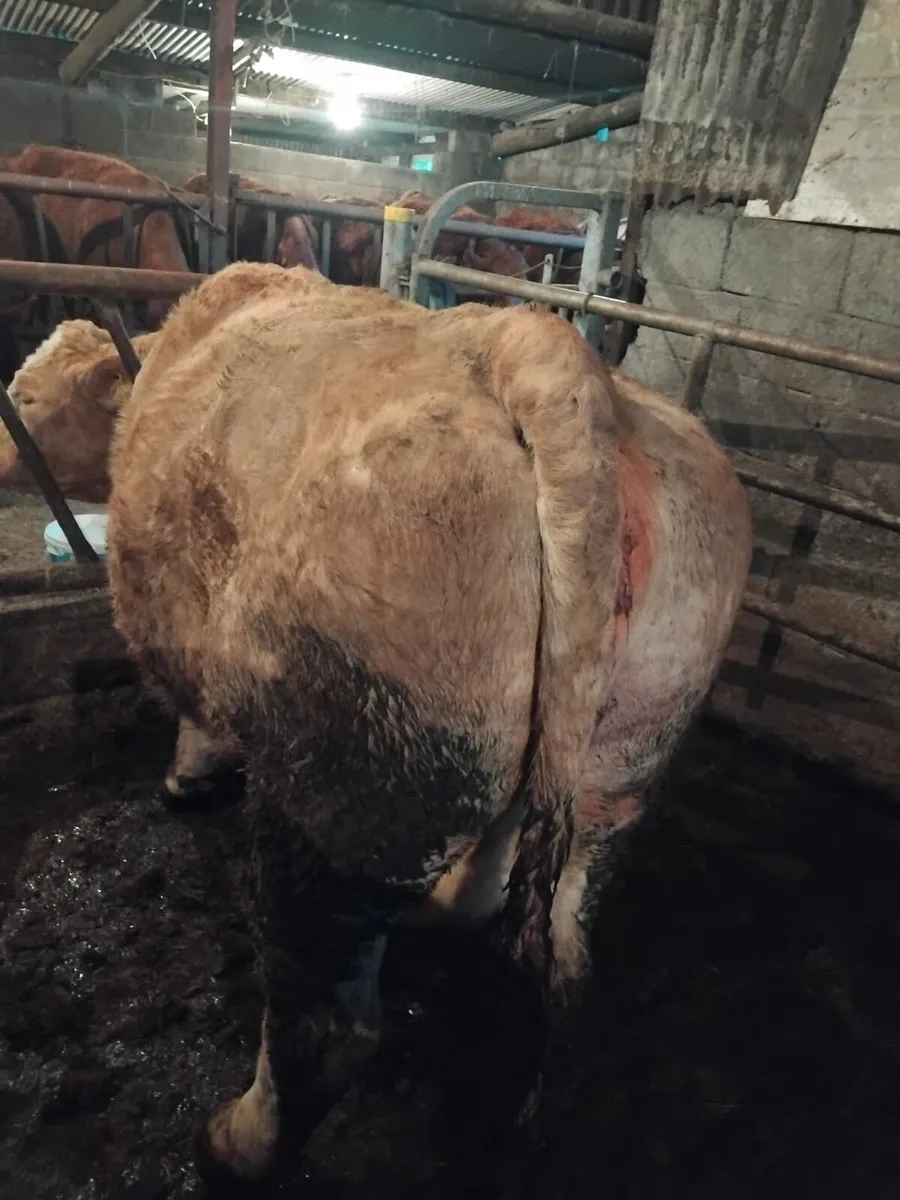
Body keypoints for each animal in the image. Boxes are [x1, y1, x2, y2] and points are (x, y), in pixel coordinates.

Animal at [0, 264, 751, 1185]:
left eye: (27, 397)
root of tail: (535, 347)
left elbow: (194, 716)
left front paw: (186, 778)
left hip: (345, 789)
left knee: (325, 1028)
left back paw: (233, 1146)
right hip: (616, 764)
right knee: (560, 934)